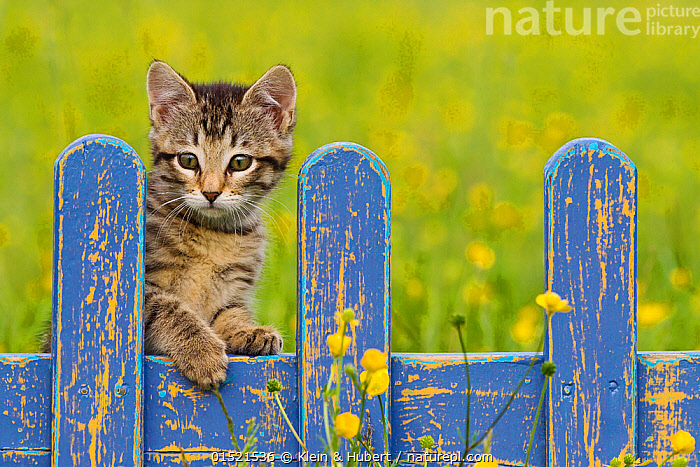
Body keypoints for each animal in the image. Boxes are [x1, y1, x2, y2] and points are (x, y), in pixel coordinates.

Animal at [142, 60, 296, 390]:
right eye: (188, 160)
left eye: (240, 163)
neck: (212, 235)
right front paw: (201, 351)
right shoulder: (138, 289)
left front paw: (248, 330)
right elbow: (167, 308)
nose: (211, 192)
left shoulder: (233, 288)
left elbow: (229, 313)